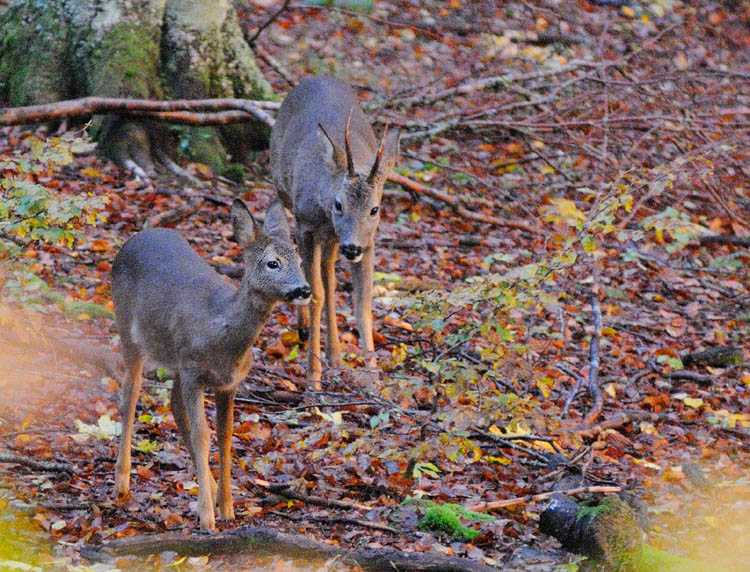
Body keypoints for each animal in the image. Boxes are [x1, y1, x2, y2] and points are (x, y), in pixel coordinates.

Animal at [111, 201, 312, 532]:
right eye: (273, 263)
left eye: (298, 259)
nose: (304, 289)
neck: (220, 331)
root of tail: (137, 236)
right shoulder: (193, 372)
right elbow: (202, 435)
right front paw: (207, 516)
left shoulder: (227, 382)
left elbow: (225, 435)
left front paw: (227, 506)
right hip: (127, 327)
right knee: (129, 395)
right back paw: (122, 483)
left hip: (175, 359)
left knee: (173, 405)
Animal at [270, 76, 400, 386]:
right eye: (339, 204)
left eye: (375, 209)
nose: (351, 248)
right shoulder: (306, 225)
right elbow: (314, 292)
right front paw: (312, 377)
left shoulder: (368, 241)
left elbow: (362, 302)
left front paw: (373, 378)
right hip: (284, 192)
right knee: (308, 267)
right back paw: (306, 331)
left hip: (330, 240)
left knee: (328, 275)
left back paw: (336, 356)